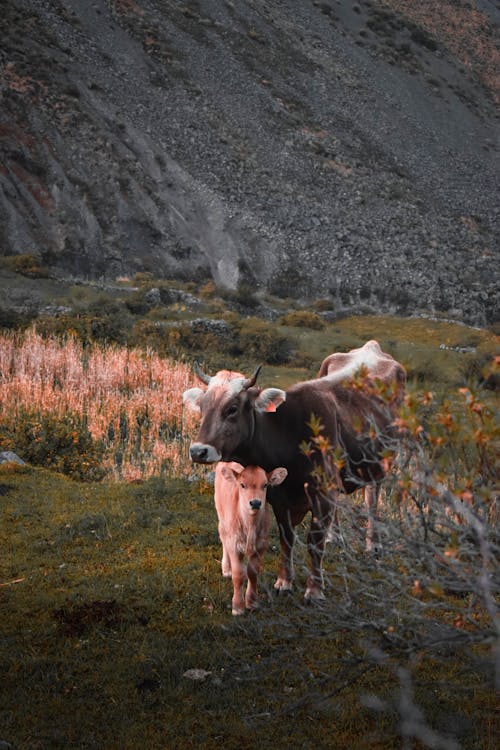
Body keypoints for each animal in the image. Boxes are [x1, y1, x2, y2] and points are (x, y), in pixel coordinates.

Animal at [216, 464, 290, 616]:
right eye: (242, 485)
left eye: (265, 485)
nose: (255, 502)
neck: (250, 524)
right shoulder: (234, 545)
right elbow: (238, 575)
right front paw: (237, 607)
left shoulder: (261, 545)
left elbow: (253, 572)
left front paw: (252, 602)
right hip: (222, 517)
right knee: (223, 537)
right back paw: (227, 569)